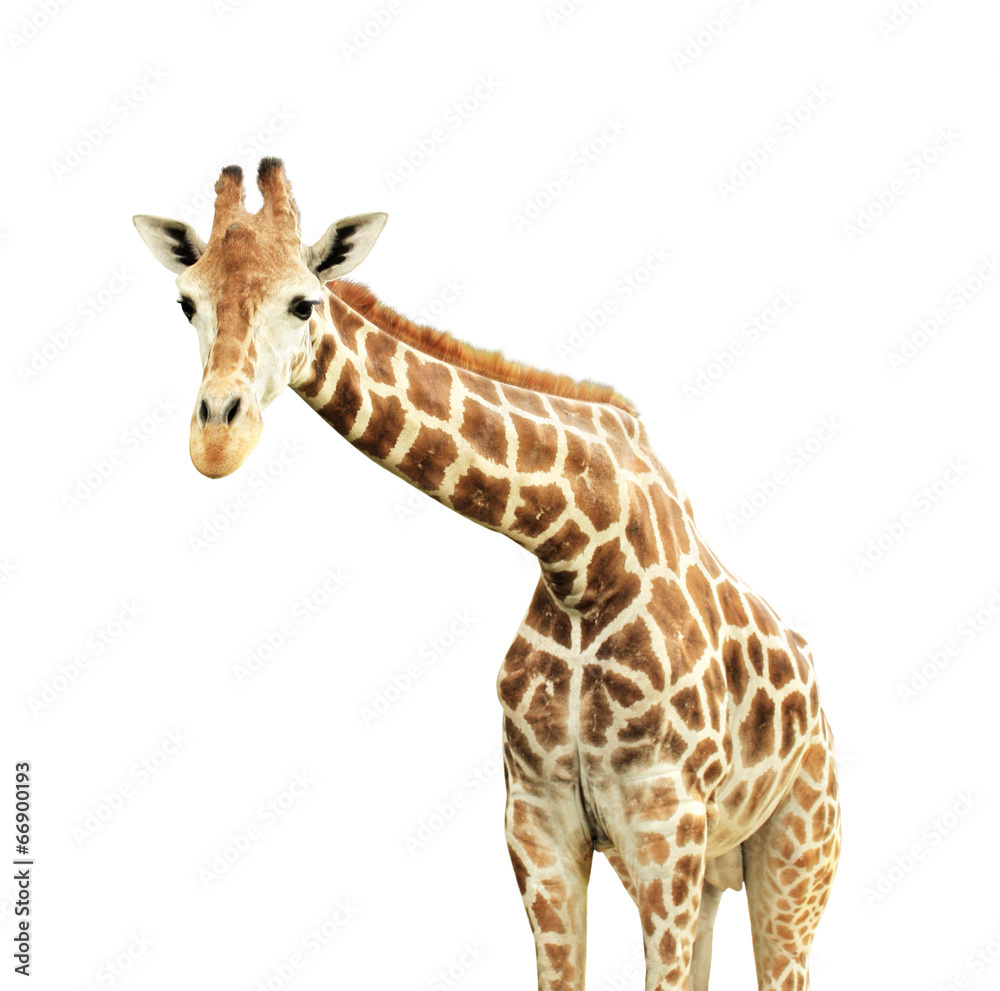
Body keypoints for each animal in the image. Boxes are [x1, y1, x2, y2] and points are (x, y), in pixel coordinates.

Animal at [134, 158, 840, 990]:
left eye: (303, 301)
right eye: (187, 303)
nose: (217, 439)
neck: (581, 556)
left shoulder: (664, 821)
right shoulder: (538, 822)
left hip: (796, 852)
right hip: (706, 875)